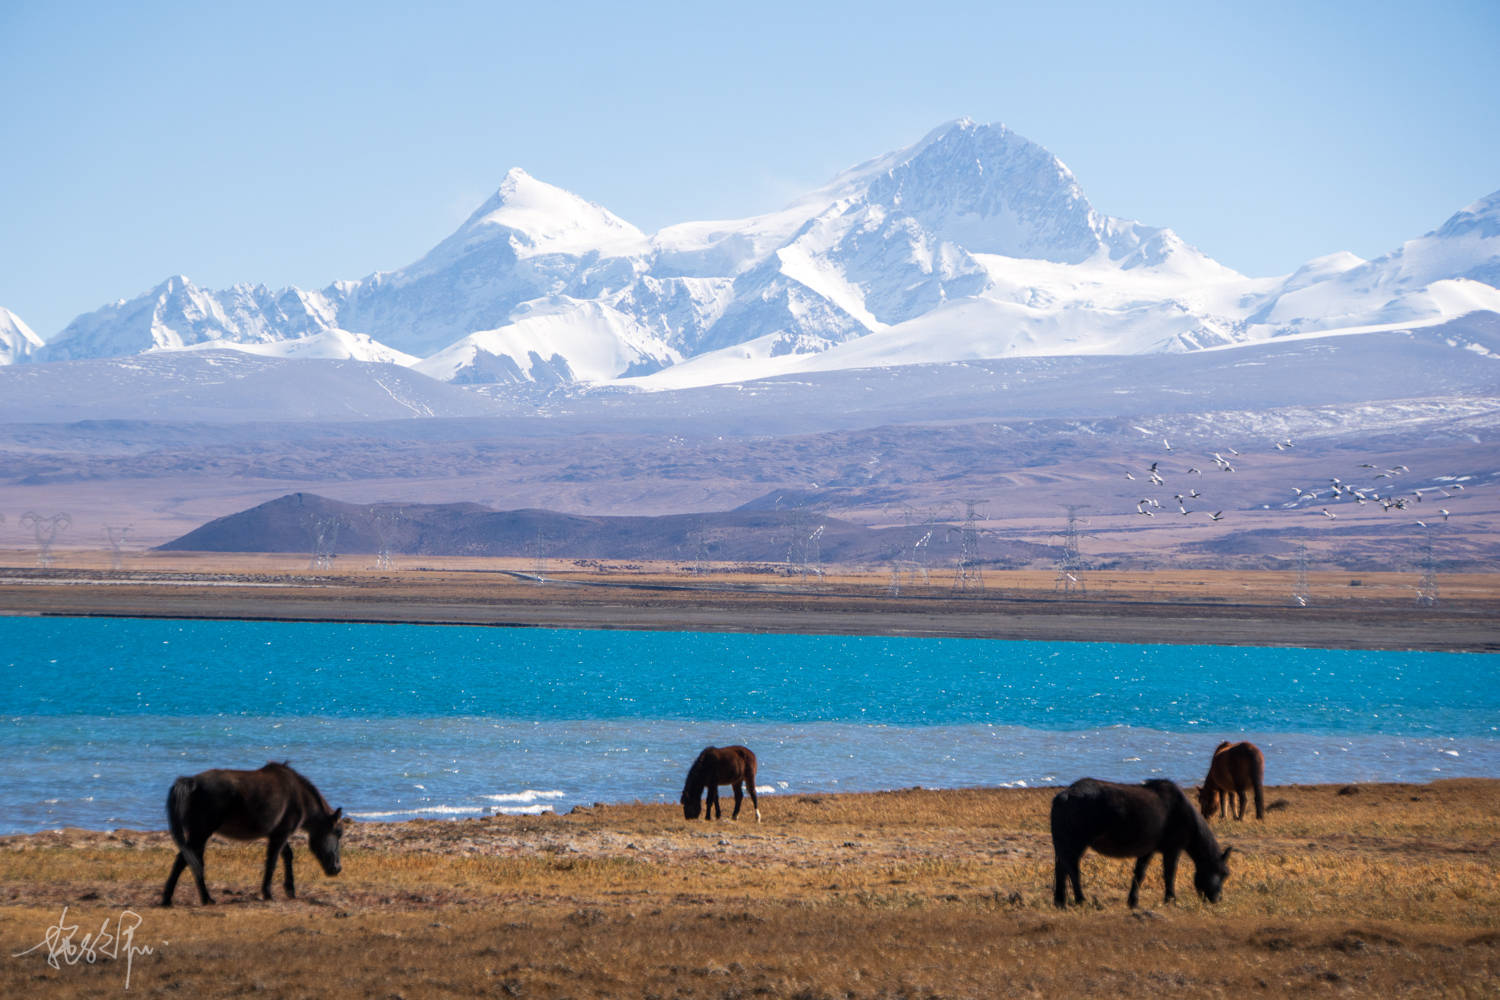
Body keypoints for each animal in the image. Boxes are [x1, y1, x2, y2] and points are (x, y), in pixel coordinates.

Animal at [160, 767, 345, 905]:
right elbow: (272, 861)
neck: (299, 796)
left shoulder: (277, 833)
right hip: (201, 833)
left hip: (198, 835)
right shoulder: (281, 834)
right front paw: (268, 894)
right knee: (185, 860)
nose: (337, 868)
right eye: (338, 832)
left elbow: (287, 855)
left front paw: (290, 890)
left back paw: (173, 899)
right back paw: (201, 899)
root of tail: (192, 782)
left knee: (190, 860)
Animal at [1050, 779, 1236, 911]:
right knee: (1073, 870)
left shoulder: (1148, 851)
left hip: (1064, 845)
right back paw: (1080, 900)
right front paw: (1170, 899)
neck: (1182, 812)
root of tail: (1064, 796)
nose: (1217, 899)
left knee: (1061, 868)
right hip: (1076, 844)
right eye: (1222, 872)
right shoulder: (1172, 849)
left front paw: (1133, 901)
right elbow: (1170, 873)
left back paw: (1060, 901)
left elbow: (1140, 873)